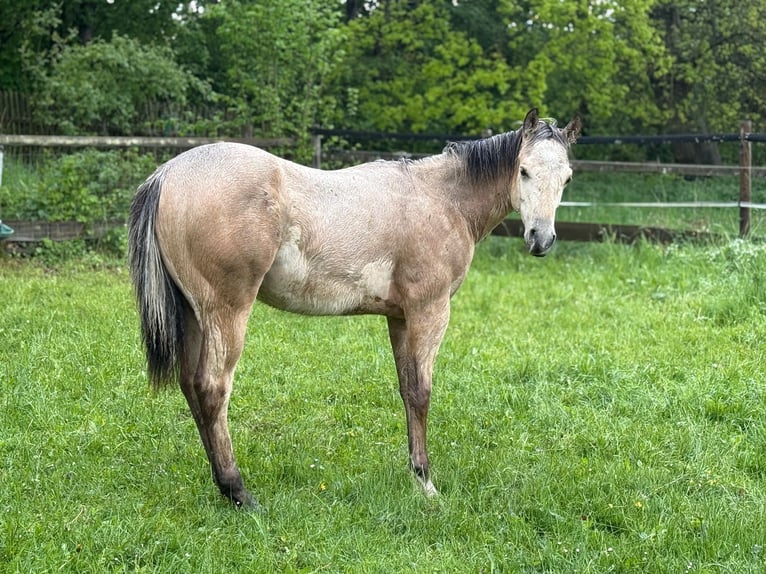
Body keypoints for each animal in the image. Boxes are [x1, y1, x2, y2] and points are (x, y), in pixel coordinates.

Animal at [128, 108, 581, 509]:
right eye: (524, 171)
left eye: (567, 177)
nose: (541, 239)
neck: (442, 199)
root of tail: (168, 174)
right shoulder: (429, 312)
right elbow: (422, 392)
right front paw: (427, 484)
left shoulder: (399, 317)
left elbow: (407, 389)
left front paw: (414, 475)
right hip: (225, 313)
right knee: (212, 389)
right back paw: (238, 491)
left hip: (193, 315)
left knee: (191, 386)